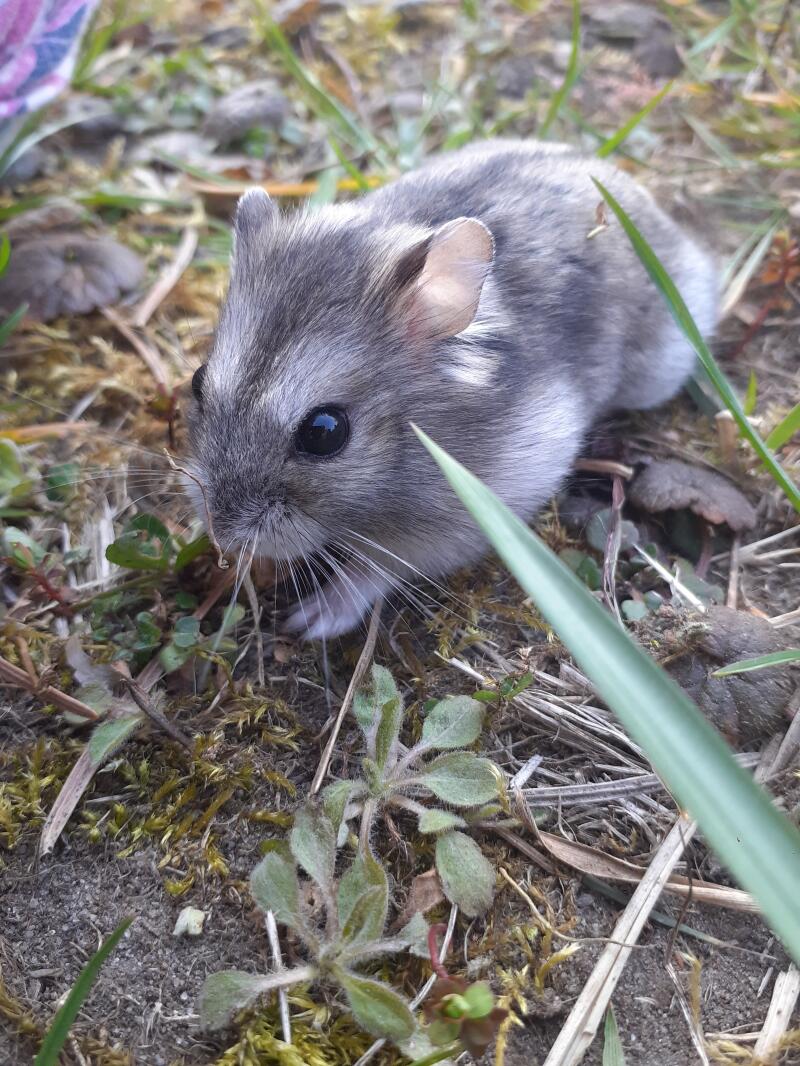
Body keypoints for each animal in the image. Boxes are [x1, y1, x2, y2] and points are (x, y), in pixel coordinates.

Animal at [186, 139, 718, 640]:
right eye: (198, 380)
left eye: (324, 431)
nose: (223, 534)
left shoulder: (460, 524)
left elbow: (377, 568)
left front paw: (311, 619)